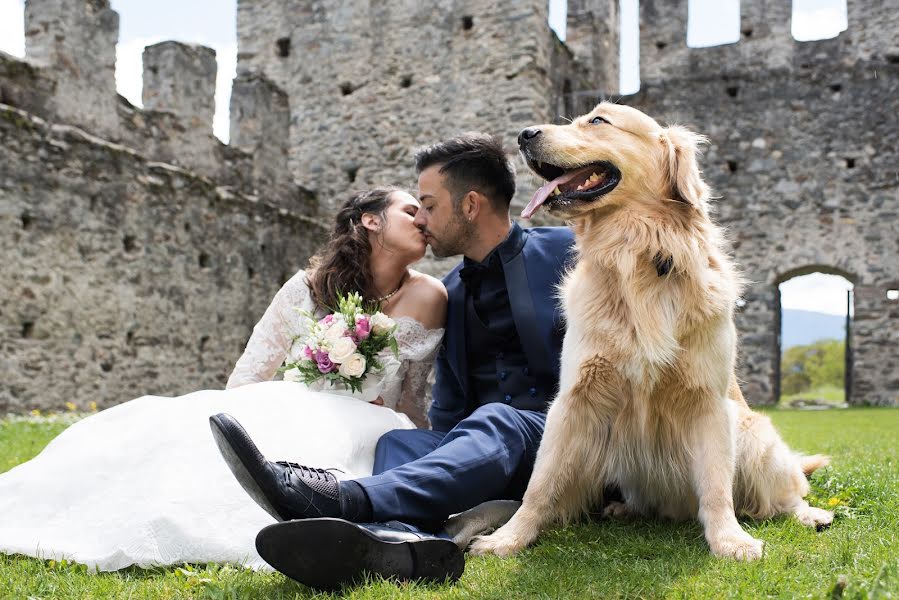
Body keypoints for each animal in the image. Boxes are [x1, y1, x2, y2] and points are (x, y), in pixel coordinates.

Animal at [472, 104, 836, 564]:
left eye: (598, 121)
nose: (524, 134)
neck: (639, 254)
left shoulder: (709, 401)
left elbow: (717, 487)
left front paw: (729, 540)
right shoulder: (574, 399)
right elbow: (539, 485)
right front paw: (508, 537)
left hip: (755, 437)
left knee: (786, 495)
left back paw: (810, 514)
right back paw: (622, 508)